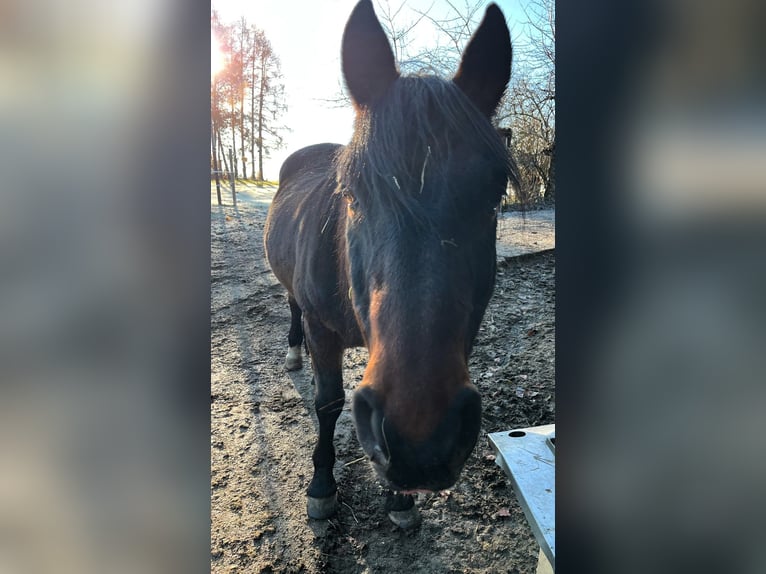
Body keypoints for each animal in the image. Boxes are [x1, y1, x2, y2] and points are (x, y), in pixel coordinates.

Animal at [266, 0, 520, 532]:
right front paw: (322, 487)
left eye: (494, 198)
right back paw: (293, 351)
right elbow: (328, 404)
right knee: (292, 307)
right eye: (351, 195)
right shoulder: (323, 330)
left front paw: (400, 499)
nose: (421, 441)